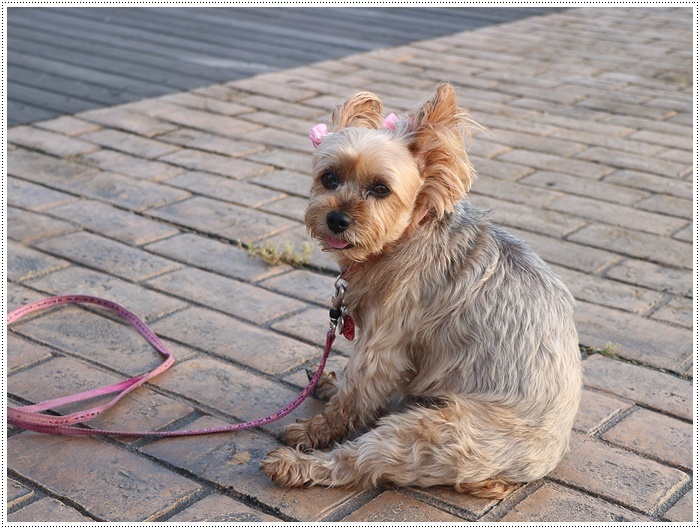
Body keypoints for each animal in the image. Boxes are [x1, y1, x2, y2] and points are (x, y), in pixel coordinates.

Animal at [260, 81, 584, 496]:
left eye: (381, 189)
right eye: (329, 178)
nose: (336, 219)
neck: (403, 239)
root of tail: (529, 469)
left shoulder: (382, 347)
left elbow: (355, 398)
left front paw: (317, 429)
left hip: (431, 432)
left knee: (359, 463)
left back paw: (297, 466)